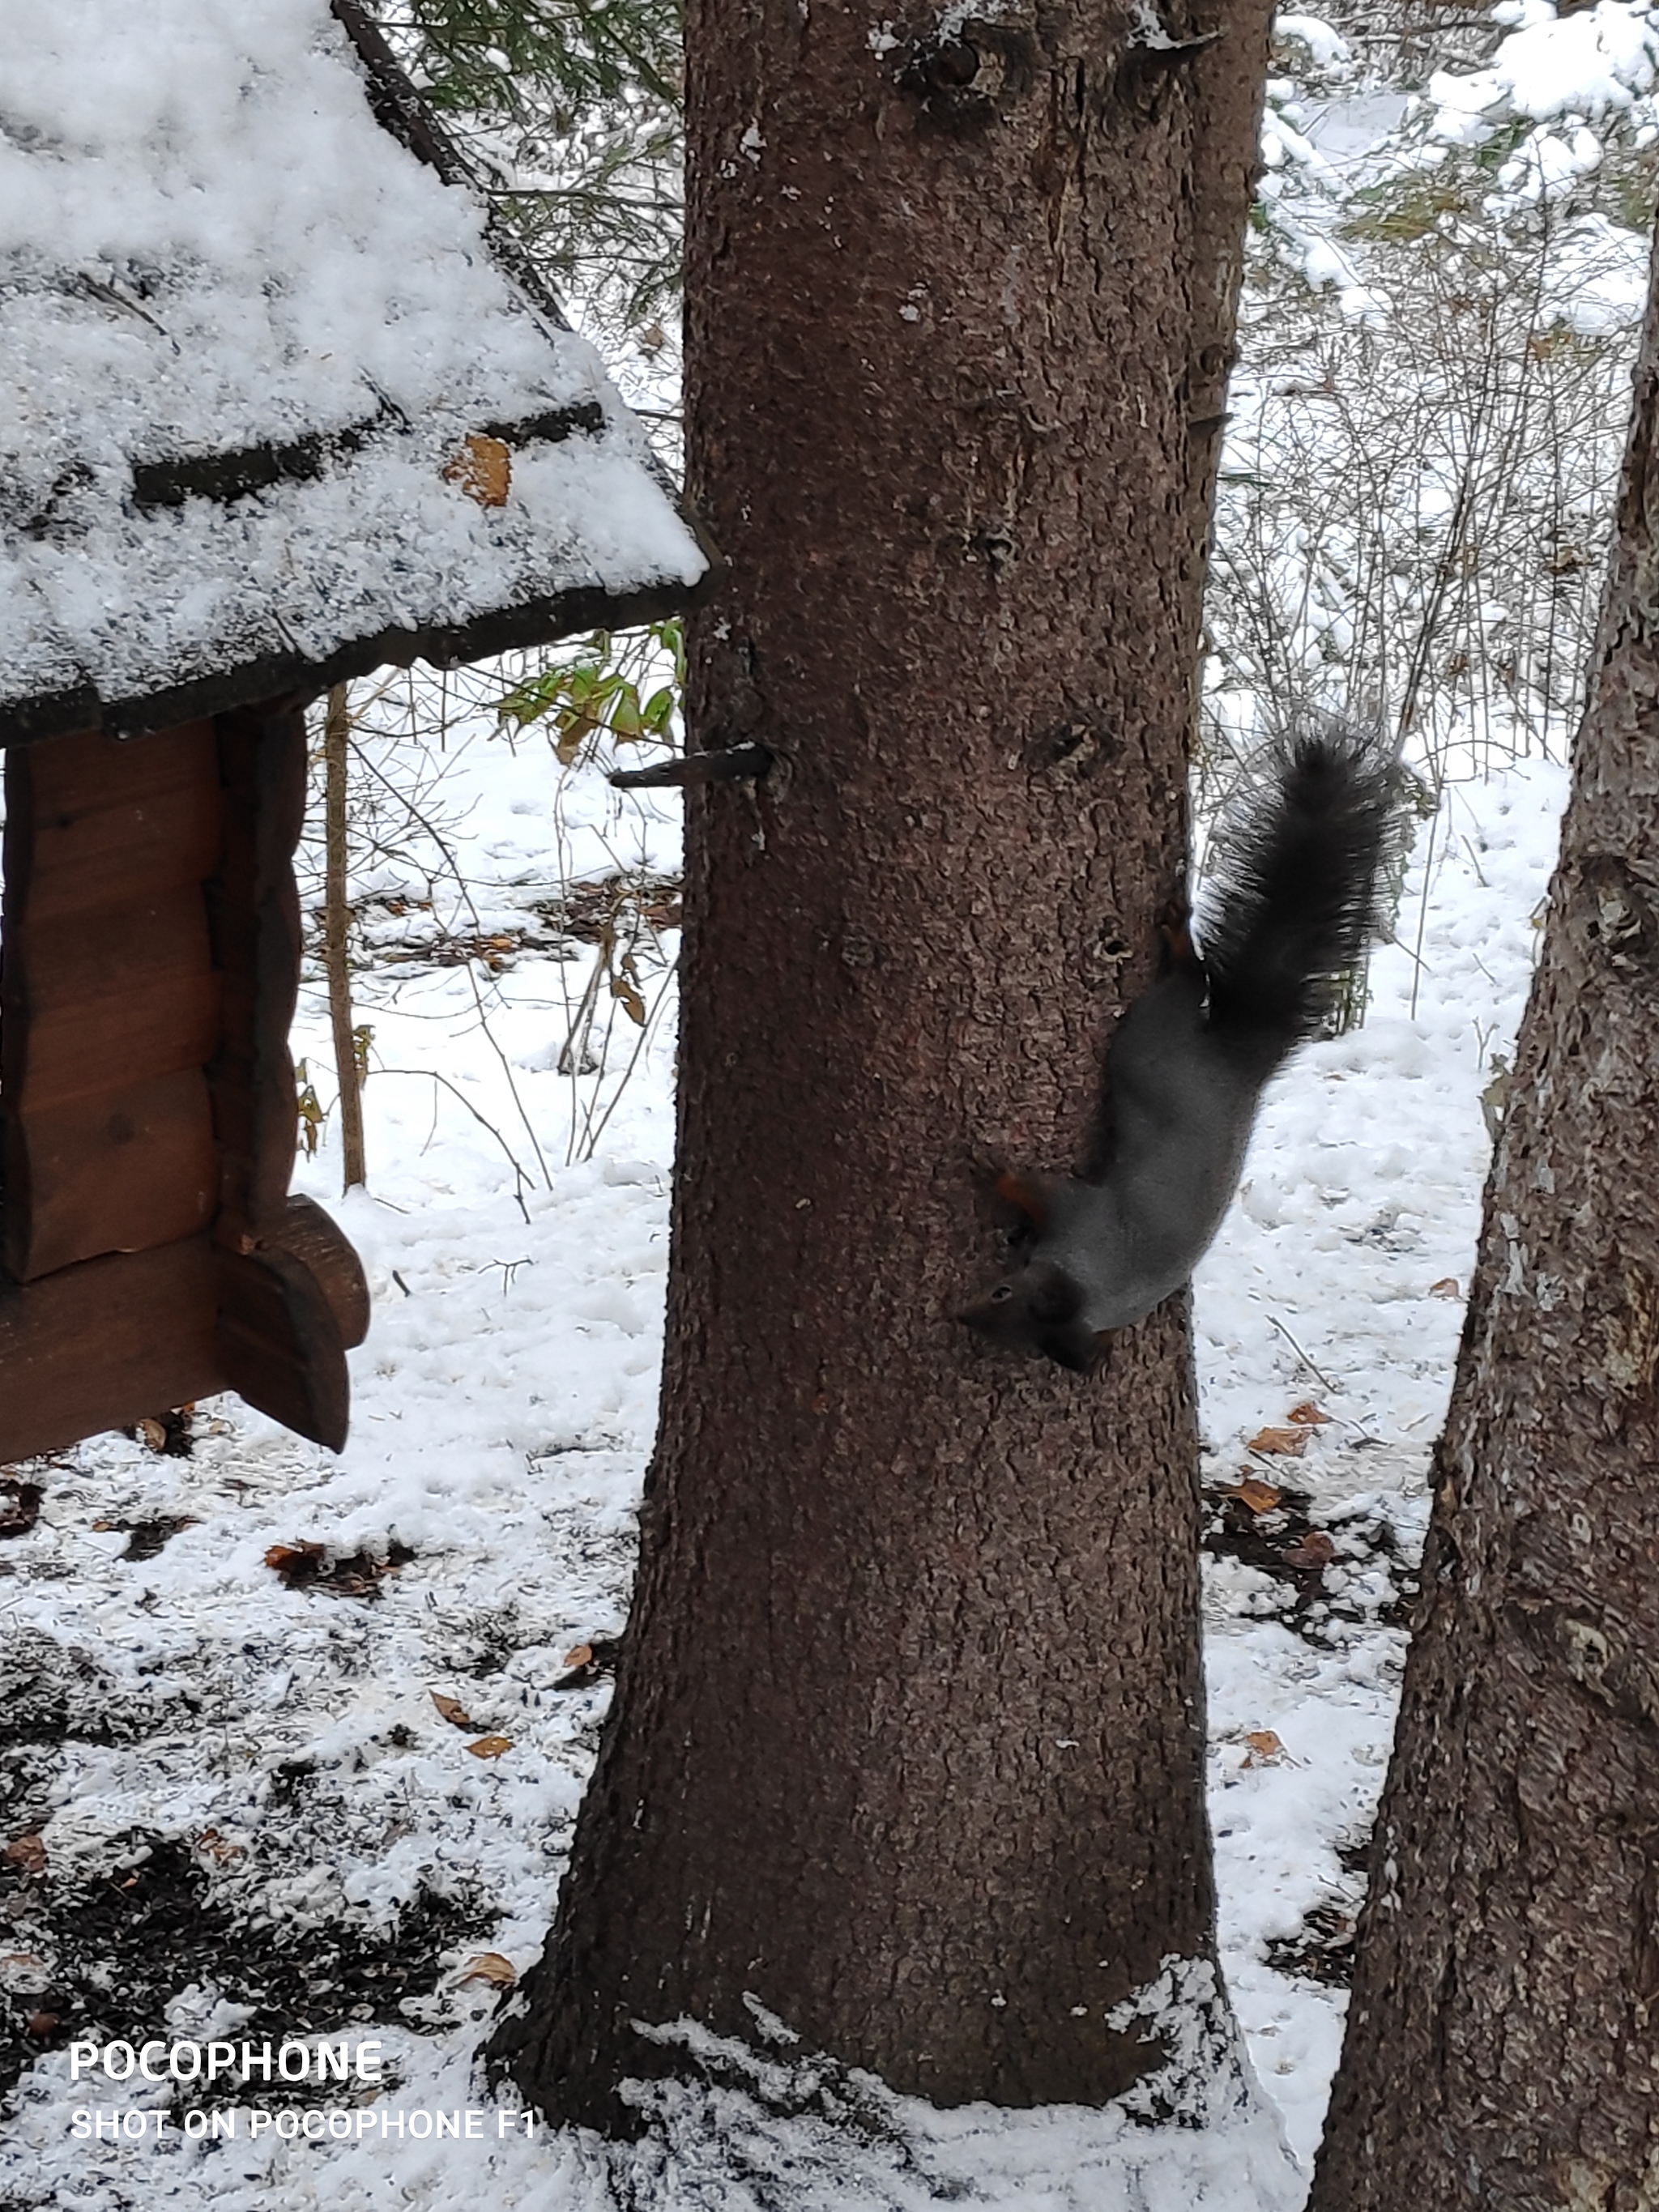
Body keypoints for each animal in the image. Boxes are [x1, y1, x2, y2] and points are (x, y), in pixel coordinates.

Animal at [960, 725, 1415, 1371]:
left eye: (1005, 1294)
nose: (961, 1315)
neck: (1103, 1281)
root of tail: (1236, 1065)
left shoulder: (1079, 1214)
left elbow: (1039, 1189)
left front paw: (997, 1173)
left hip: (1150, 1038)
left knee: (1189, 981)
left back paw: (1180, 945)